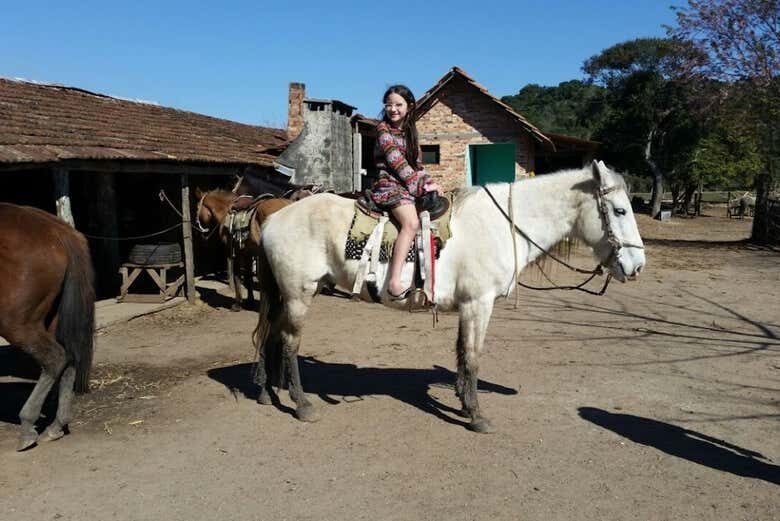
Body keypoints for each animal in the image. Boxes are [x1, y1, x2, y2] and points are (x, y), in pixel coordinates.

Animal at [0, 203, 95, 451]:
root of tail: (59, 231)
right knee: (69, 358)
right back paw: (56, 425)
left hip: (17, 324)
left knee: (55, 358)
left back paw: (27, 425)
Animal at [253, 161, 646, 433]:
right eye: (620, 210)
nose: (637, 266)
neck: (502, 225)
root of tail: (274, 218)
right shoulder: (479, 303)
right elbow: (472, 356)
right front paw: (476, 415)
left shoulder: (468, 306)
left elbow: (460, 353)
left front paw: (462, 402)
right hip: (299, 293)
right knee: (289, 342)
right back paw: (302, 404)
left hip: (286, 294)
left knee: (271, 336)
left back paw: (266, 392)